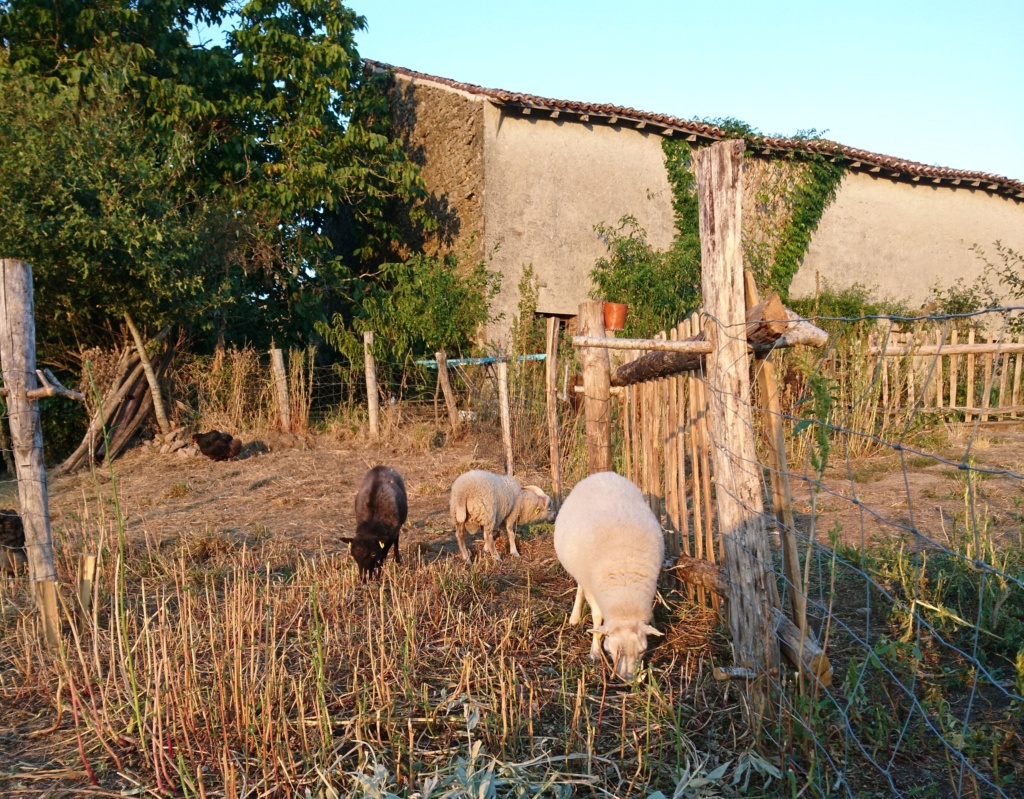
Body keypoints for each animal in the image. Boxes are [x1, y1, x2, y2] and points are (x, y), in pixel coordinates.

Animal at [552, 471, 663, 684]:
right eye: (611, 652)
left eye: (642, 651)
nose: (628, 679)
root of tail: (603, 473)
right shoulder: (591, 586)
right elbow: (597, 617)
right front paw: (594, 651)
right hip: (580, 570)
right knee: (579, 588)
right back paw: (575, 617)